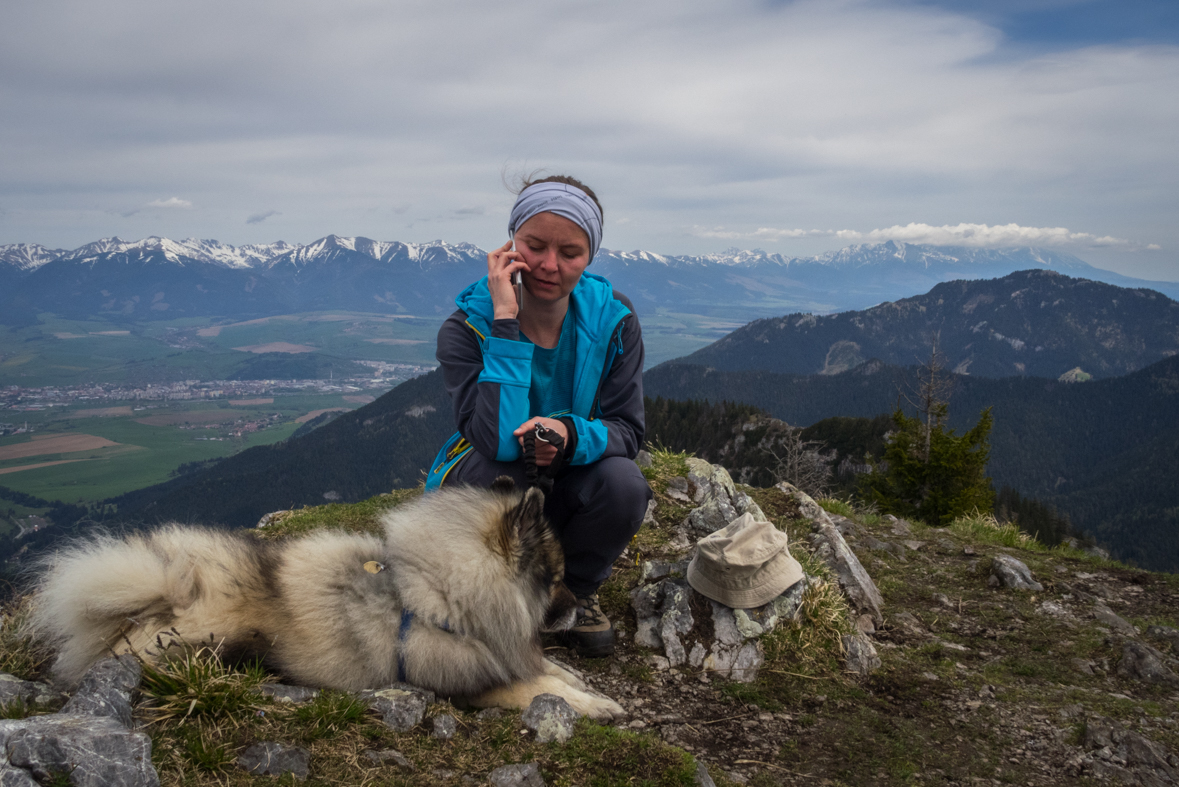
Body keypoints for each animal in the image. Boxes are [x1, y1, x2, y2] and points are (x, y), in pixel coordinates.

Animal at [29, 480, 627, 721]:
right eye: (555, 578)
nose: (580, 608)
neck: (437, 595)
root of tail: (171, 595)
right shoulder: (467, 682)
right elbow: (535, 687)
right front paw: (596, 705)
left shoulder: (501, 652)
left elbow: (547, 670)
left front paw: (582, 682)